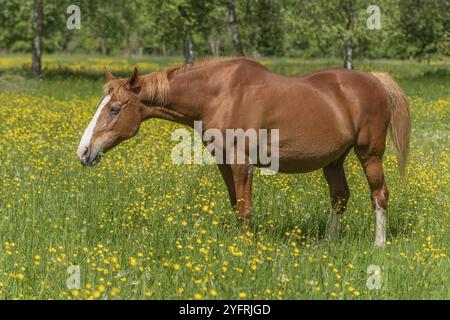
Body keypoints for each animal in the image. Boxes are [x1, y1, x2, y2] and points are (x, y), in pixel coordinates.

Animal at [78, 57, 412, 248]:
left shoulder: (242, 162)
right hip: (334, 160)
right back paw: (328, 244)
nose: (84, 151)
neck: (220, 95)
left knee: (379, 195)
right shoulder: (224, 162)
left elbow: (245, 207)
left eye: (115, 109)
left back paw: (379, 245)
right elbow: (235, 205)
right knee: (340, 198)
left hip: (370, 154)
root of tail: (374, 80)